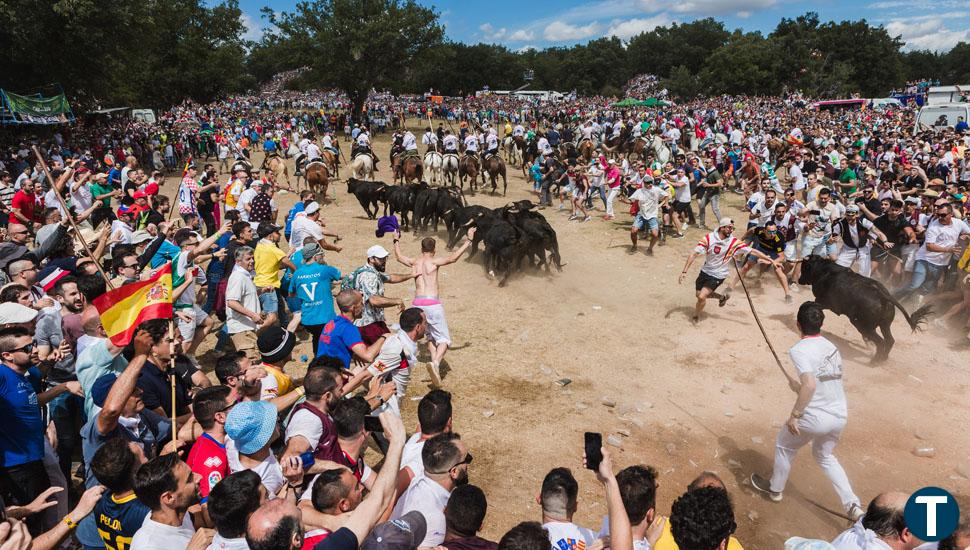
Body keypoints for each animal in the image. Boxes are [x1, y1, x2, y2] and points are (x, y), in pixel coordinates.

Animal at [796, 258, 932, 364]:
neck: (824, 271)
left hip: (864, 326)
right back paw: (882, 358)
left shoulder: (823, 302)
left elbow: (809, 304)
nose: (799, 280)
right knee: (889, 340)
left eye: (804, 268)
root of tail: (883, 295)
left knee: (881, 342)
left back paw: (874, 361)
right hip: (884, 325)